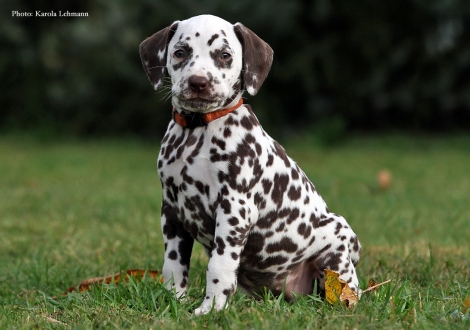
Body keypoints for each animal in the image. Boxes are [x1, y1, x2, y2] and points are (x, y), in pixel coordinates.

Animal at [139, 14, 360, 316]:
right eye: (180, 52)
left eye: (224, 55)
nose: (198, 82)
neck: (197, 132)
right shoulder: (172, 211)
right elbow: (173, 265)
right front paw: (174, 301)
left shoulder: (235, 209)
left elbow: (219, 265)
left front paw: (211, 308)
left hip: (339, 240)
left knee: (346, 285)